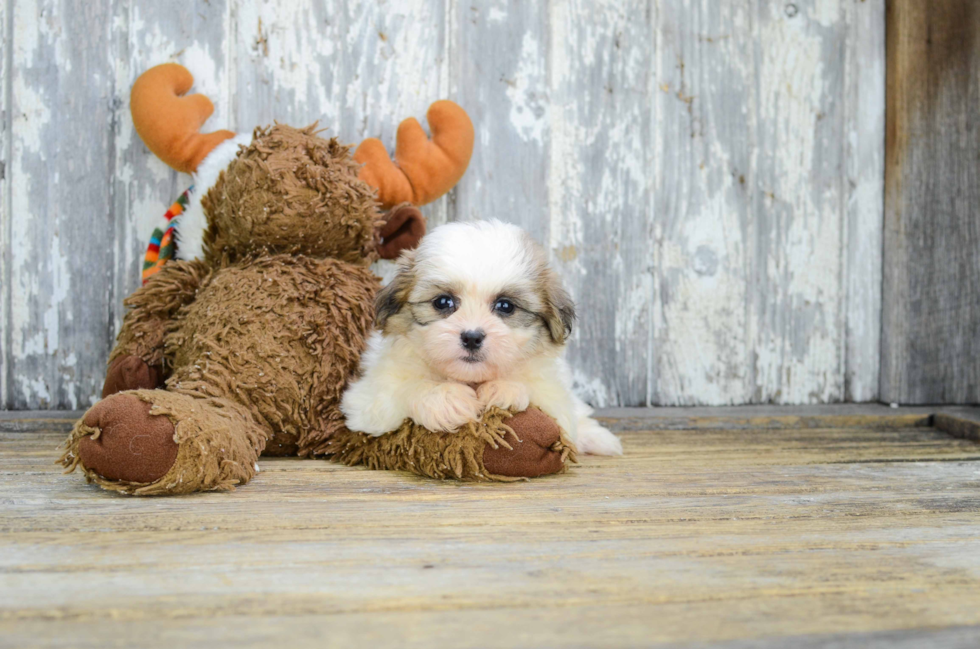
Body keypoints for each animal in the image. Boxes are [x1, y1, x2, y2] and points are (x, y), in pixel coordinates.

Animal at [340, 218, 624, 456]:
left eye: (505, 306)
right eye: (443, 302)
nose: (472, 337)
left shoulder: (555, 397)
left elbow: (543, 397)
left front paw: (505, 388)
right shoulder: (365, 399)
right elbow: (403, 389)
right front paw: (443, 398)